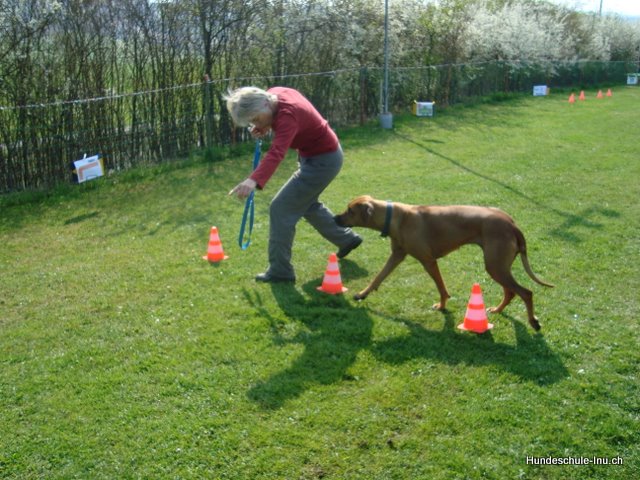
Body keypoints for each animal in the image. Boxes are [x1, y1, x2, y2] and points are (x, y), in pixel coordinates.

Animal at [334, 195, 553, 331]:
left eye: (350, 211)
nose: (336, 218)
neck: (395, 217)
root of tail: (512, 224)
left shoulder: (428, 261)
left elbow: (441, 287)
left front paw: (441, 305)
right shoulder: (397, 255)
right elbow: (378, 277)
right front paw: (362, 294)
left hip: (495, 266)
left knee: (525, 292)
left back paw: (533, 322)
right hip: (498, 266)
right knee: (510, 292)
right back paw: (498, 310)